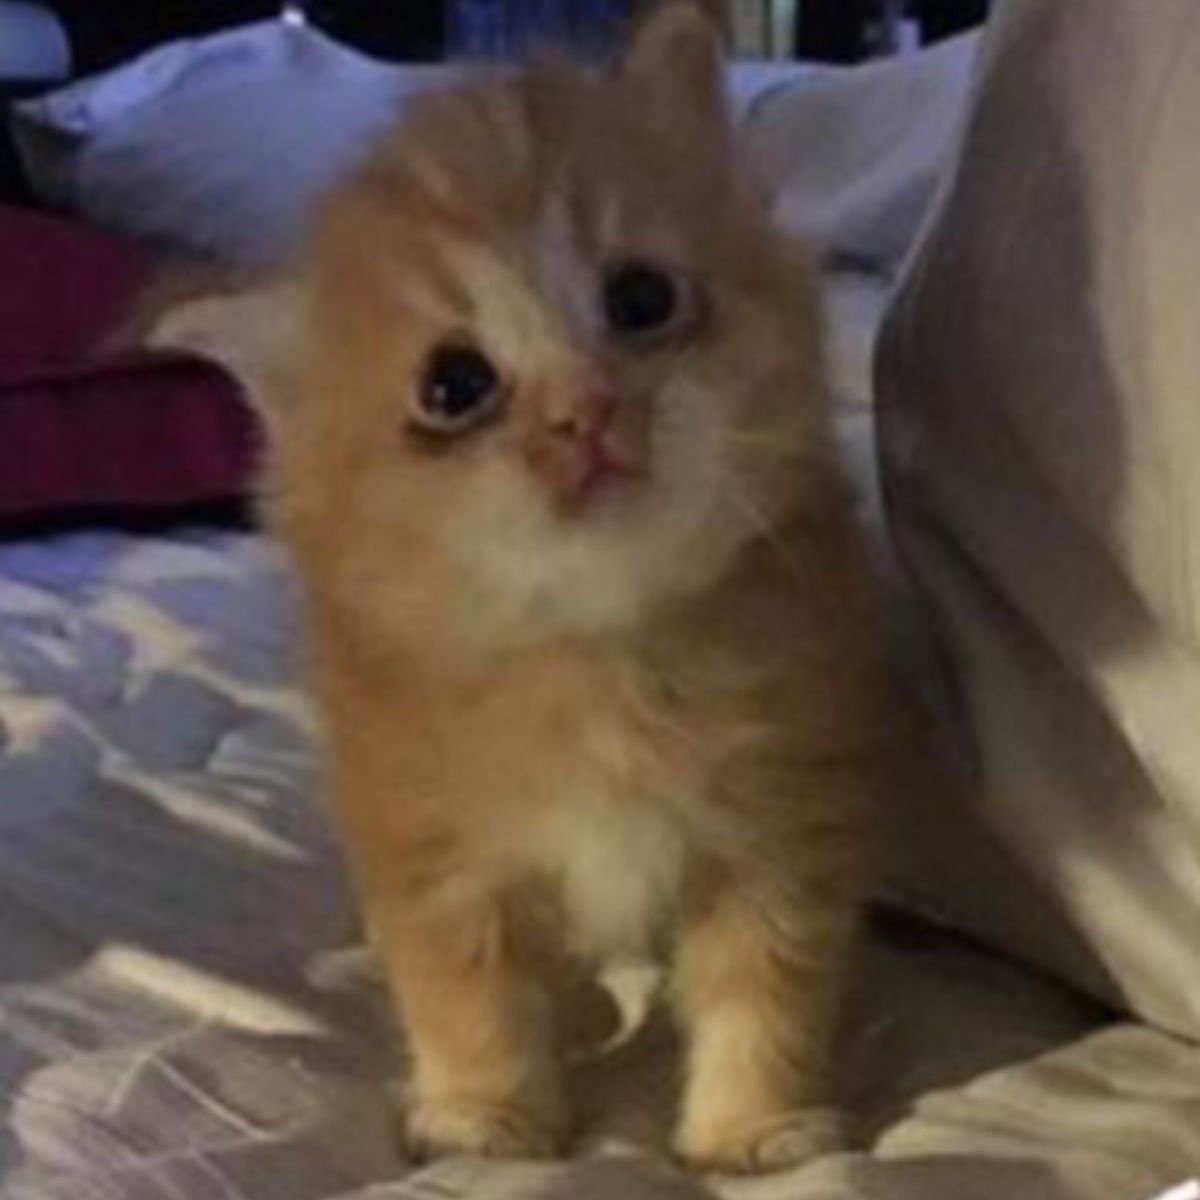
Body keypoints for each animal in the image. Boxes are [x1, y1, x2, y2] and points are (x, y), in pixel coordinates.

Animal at [157, 0, 873, 1176]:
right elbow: (472, 1002)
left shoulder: (778, 829)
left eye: (640, 297)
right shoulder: (435, 854)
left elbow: (767, 995)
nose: (584, 416)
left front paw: (754, 1132)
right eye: (454, 385)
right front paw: (488, 1123)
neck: (601, 660)